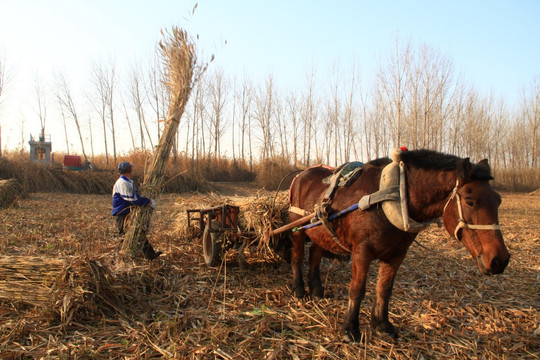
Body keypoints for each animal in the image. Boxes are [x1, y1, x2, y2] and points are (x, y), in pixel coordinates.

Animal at [288, 148, 508, 340]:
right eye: (470, 201)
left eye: (498, 200)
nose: (500, 260)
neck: (393, 196)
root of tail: (301, 174)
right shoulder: (362, 252)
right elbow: (357, 290)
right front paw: (350, 330)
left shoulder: (397, 254)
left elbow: (384, 289)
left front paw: (382, 325)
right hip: (297, 230)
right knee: (297, 257)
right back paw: (299, 290)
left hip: (320, 232)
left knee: (314, 256)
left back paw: (317, 290)